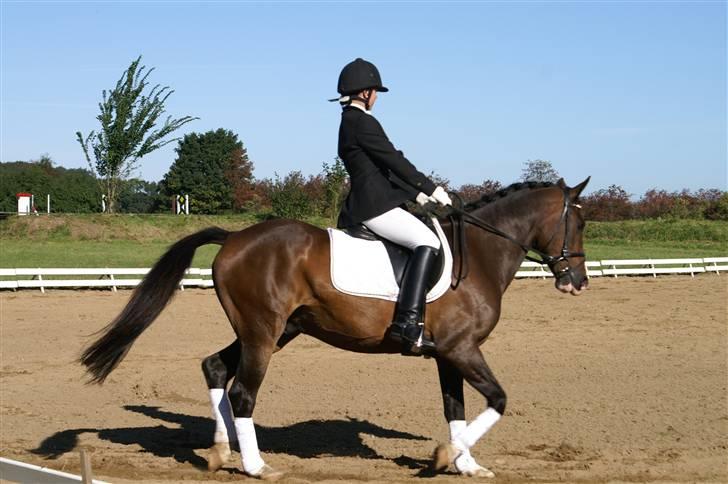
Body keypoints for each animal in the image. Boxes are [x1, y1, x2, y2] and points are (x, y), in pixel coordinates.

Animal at [81, 177, 590, 480]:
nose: (578, 282)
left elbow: (456, 409)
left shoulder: (448, 353)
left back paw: (221, 451)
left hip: (274, 332)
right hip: (263, 333)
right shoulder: (462, 350)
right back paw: (256, 465)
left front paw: (465, 464)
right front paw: (445, 457)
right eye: (580, 222)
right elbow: (498, 399)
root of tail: (235, 237)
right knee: (243, 392)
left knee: (215, 368)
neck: (479, 255)